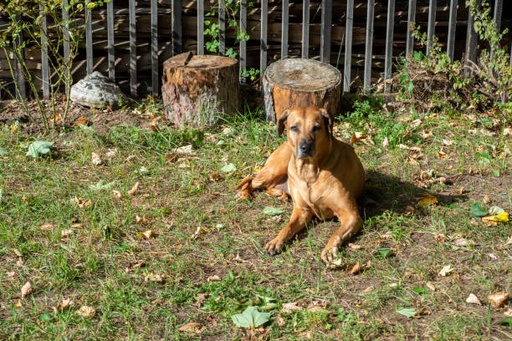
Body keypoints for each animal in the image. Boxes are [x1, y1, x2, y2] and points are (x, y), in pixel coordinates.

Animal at [236, 106, 364, 262]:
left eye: (316, 127)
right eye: (294, 128)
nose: (305, 147)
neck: (310, 170)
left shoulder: (351, 215)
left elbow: (337, 233)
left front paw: (329, 249)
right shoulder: (302, 210)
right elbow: (288, 227)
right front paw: (276, 241)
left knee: (267, 186)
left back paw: (278, 193)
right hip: (276, 168)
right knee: (253, 181)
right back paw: (244, 193)